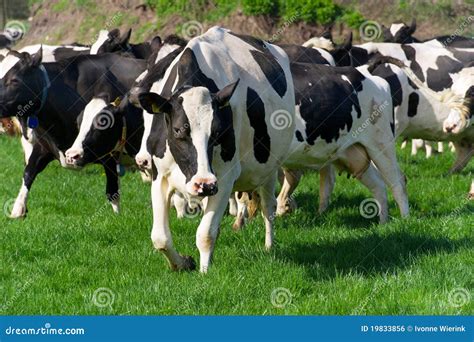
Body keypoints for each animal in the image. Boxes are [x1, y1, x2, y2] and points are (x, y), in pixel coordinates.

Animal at [0, 48, 146, 216]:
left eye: (14, 80)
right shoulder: (45, 146)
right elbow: (29, 171)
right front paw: (18, 208)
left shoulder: (108, 153)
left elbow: (112, 192)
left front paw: (117, 217)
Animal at [133, 26, 296, 272]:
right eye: (179, 130)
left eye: (219, 132)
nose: (205, 184)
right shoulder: (159, 175)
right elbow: (160, 237)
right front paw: (183, 263)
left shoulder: (225, 178)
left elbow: (206, 233)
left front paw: (204, 272)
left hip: (268, 168)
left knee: (269, 208)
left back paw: (269, 246)